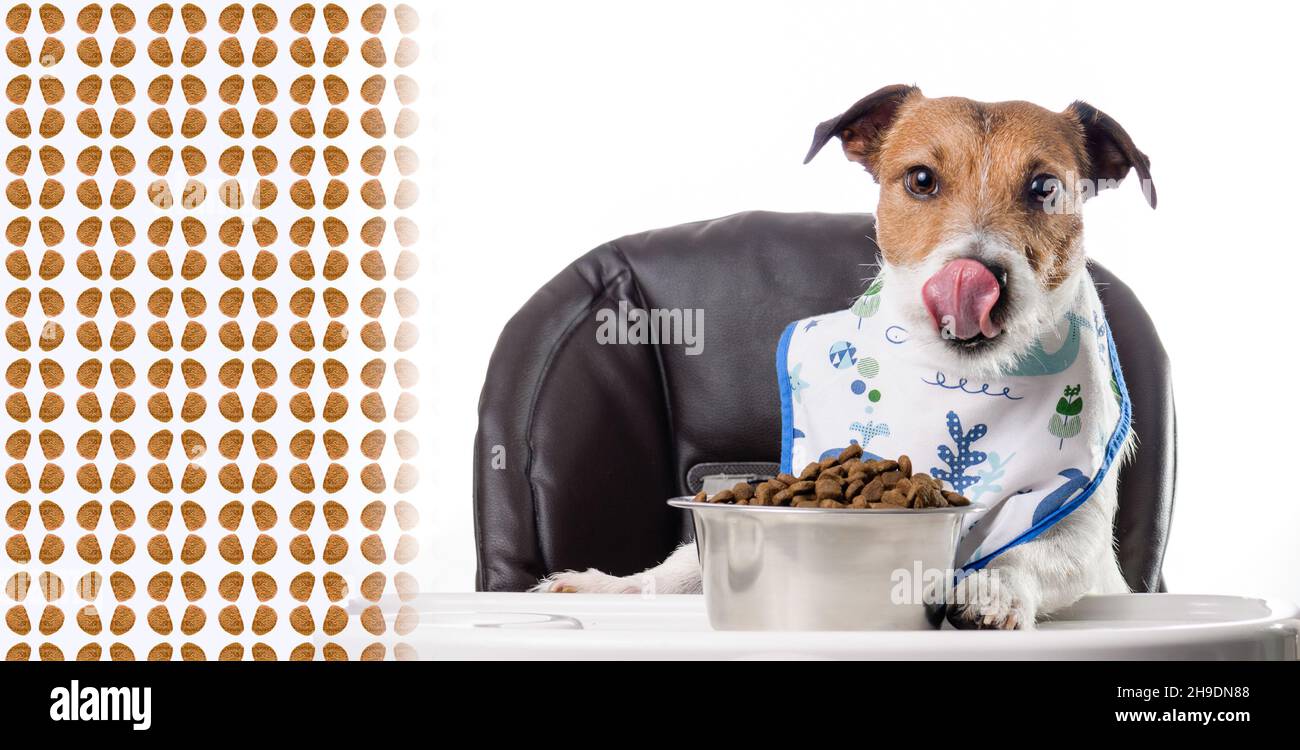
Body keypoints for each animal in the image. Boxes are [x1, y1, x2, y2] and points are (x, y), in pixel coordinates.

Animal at [533, 84, 1154, 629]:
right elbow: (688, 561)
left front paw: (991, 588)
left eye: (1045, 187)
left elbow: (1030, 551)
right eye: (921, 179)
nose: (973, 277)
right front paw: (614, 586)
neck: (960, 377)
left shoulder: (1081, 533)